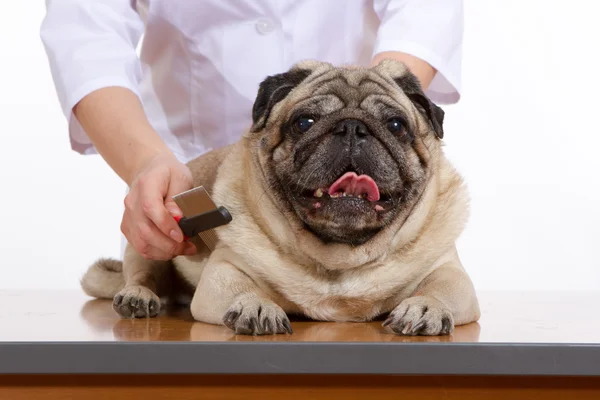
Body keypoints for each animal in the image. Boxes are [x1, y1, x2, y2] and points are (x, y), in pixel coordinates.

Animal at [82, 59, 480, 334]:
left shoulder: (451, 275)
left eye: (396, 126)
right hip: (150, 243)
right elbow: (243, 289)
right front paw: (255, 306)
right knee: (141, 275)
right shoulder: (223, 274)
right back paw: (137, 296)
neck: (340, 258)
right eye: (304, 122)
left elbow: (438, 290)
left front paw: (425, 307)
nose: (352, 127)